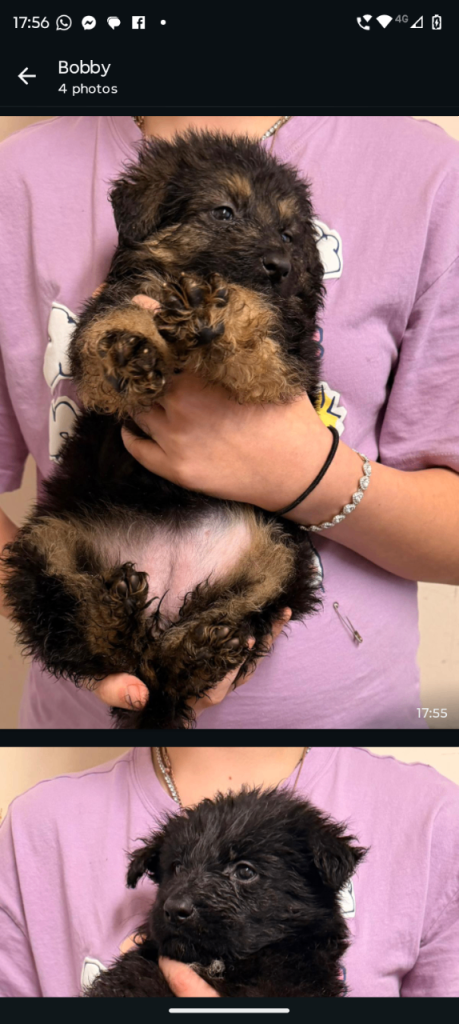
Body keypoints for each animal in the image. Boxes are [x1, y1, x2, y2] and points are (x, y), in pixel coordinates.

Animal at [2, 131, 325, 729]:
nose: (279, 265)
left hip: (280, 558)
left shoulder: (291, 365)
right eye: (224, 212)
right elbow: (110, 322)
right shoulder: (122, 296)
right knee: (95, 636)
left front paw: (217, 314)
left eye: (289, 233)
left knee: (211, 632)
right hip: (45, 545)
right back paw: (117, 609)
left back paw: (197, 650)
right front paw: (126, 351)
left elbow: (262, 336)